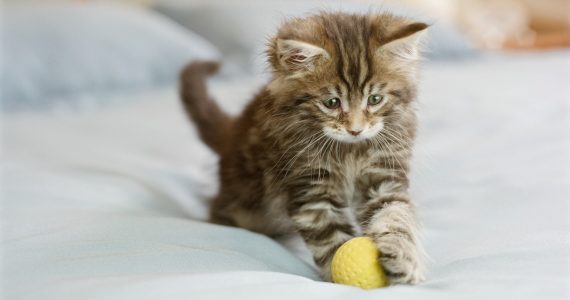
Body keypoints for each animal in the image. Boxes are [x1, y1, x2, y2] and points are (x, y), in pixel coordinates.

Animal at [180, 11, 424, 284]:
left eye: (375, 99)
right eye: (331, 103)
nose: (355, 130)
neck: (350, 150)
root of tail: (233, 132)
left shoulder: (384, 176)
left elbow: (395, 216)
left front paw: (404, 258)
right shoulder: (310, 190)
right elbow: (331, 238)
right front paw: (339, 274)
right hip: (244, 203)